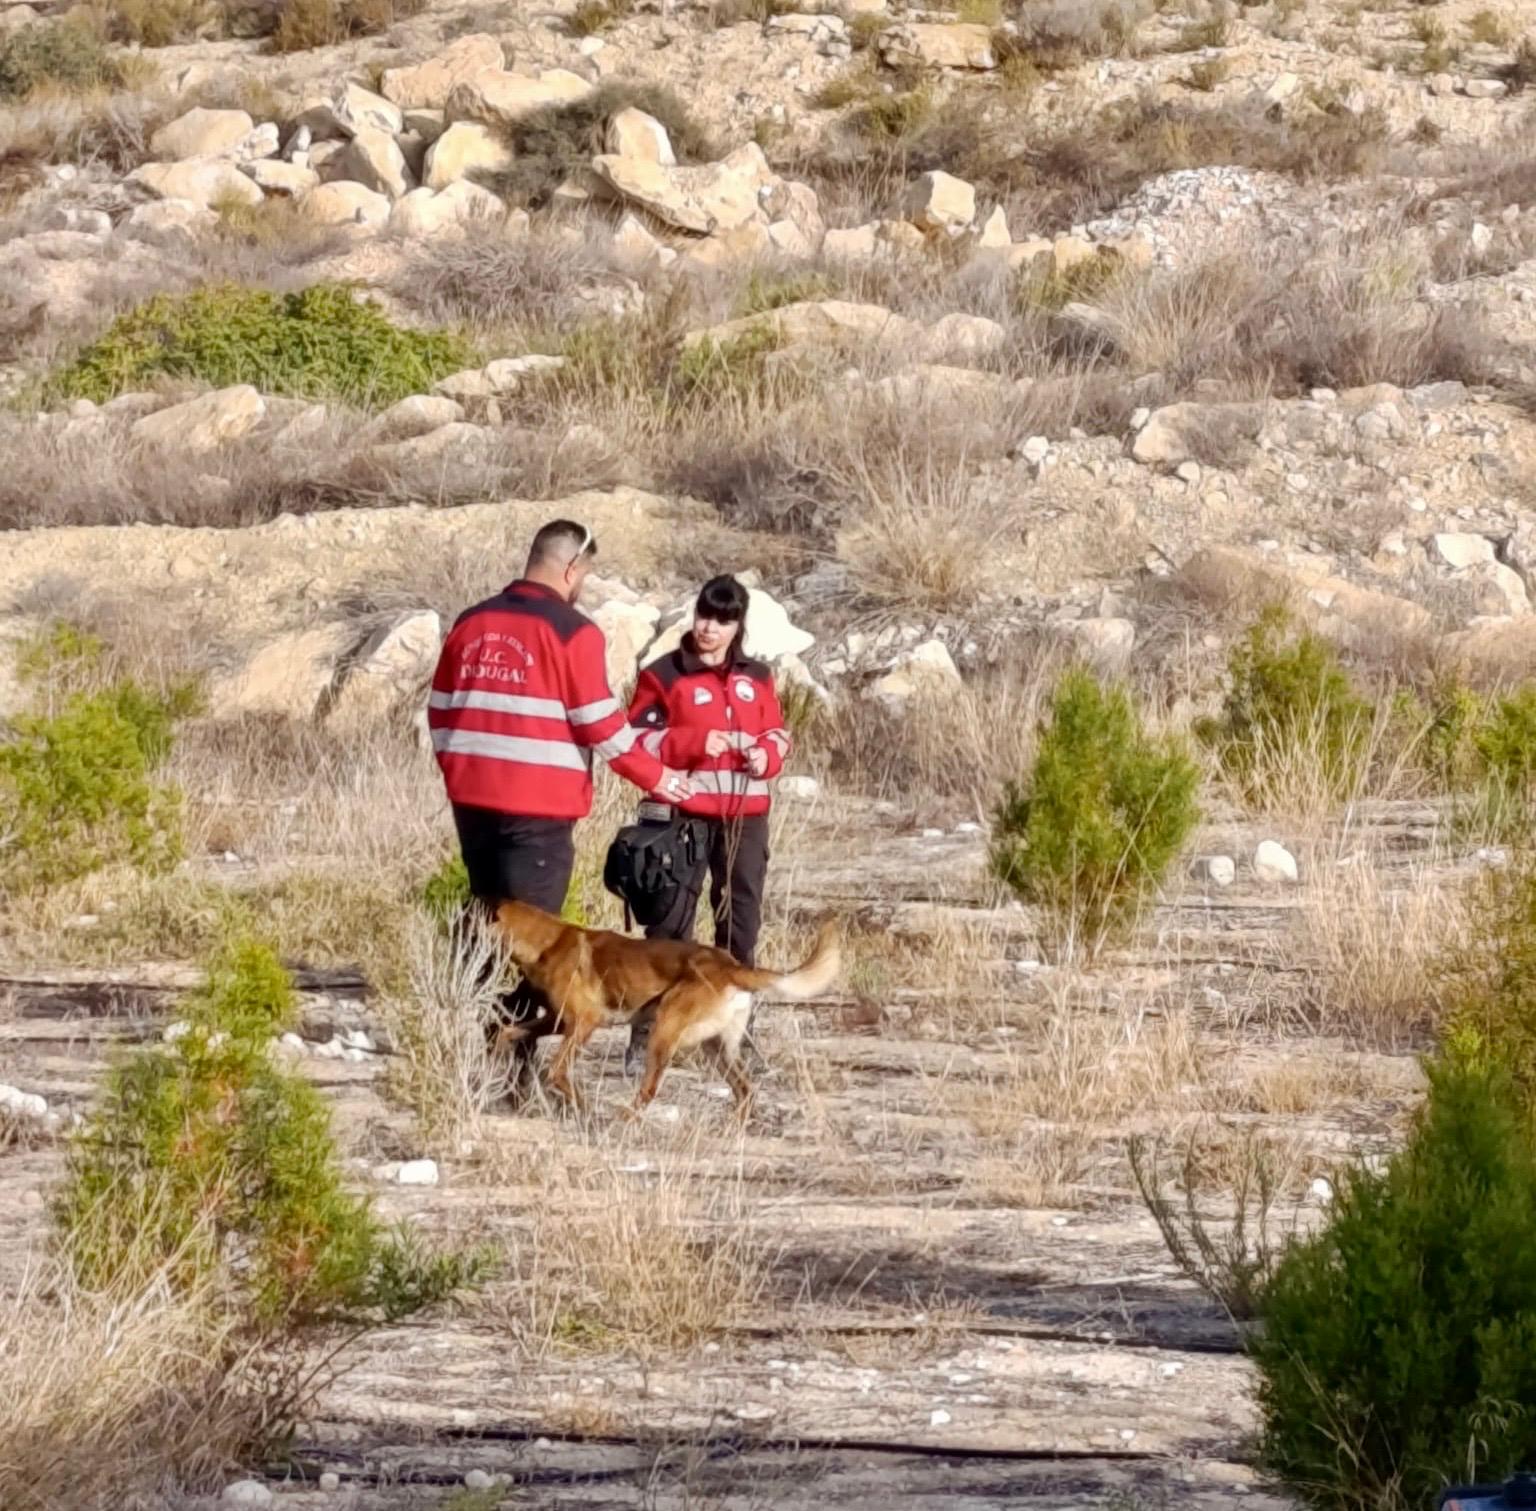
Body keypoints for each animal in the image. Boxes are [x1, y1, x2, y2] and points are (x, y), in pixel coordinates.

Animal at [488, 902, 841, 1117]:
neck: (547, 942)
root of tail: (731, 966)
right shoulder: (559, 1021)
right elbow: (510, 1031)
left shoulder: (584, 1022)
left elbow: (557, 1071)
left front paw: (583, 1108)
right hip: (718, 1048)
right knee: (746, 1091)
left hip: (663, 1031)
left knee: (649, 1089)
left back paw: (623, 1120)